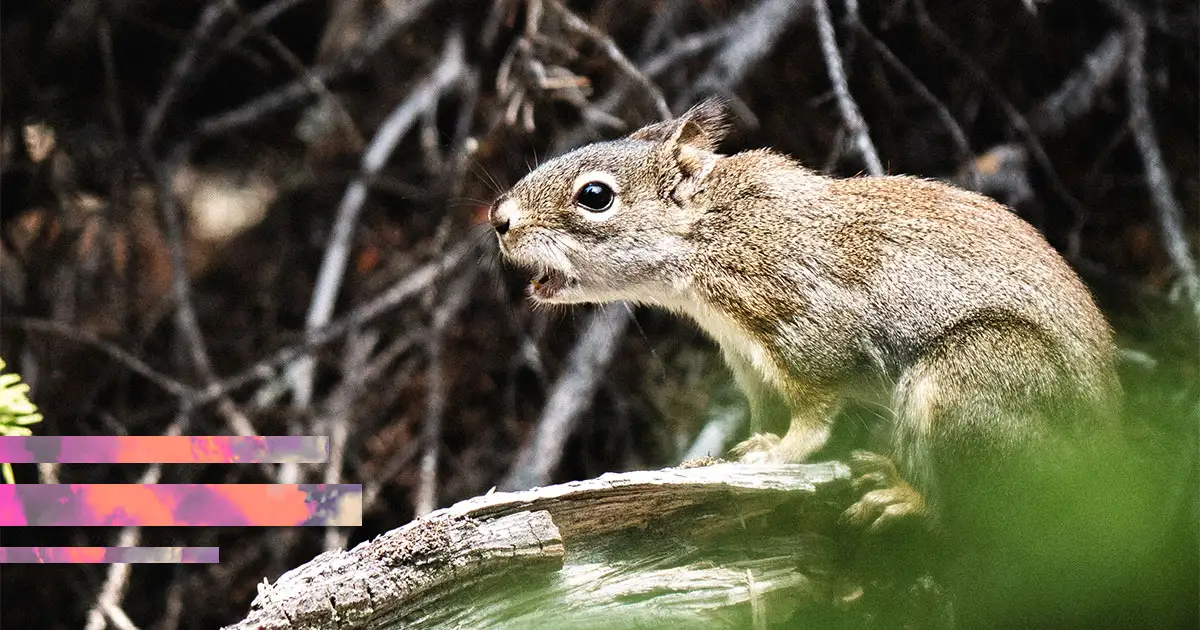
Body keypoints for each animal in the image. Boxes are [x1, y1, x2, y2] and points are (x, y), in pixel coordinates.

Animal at [488, 99, 1121, 550]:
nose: (498, 219)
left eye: (595, 196)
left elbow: (813, 420)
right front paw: (715, 461)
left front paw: (777, 455)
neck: (712, 234)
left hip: (969, 381)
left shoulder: (807, 327)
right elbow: (763, 415)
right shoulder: (751, 364)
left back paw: (904, 496)